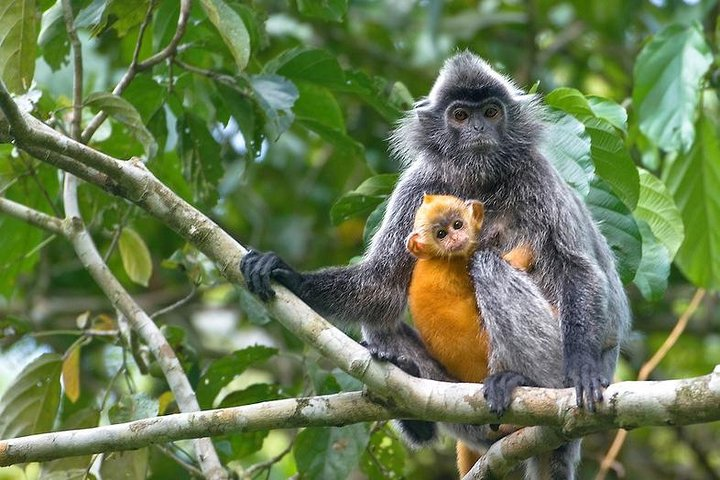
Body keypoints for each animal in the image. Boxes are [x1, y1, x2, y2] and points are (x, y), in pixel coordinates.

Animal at [405, 193, 537, 476]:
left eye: (457, 224)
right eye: (440, 234)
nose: (456, 238)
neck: (436, 259)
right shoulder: (461, 265)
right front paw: (524, 253)